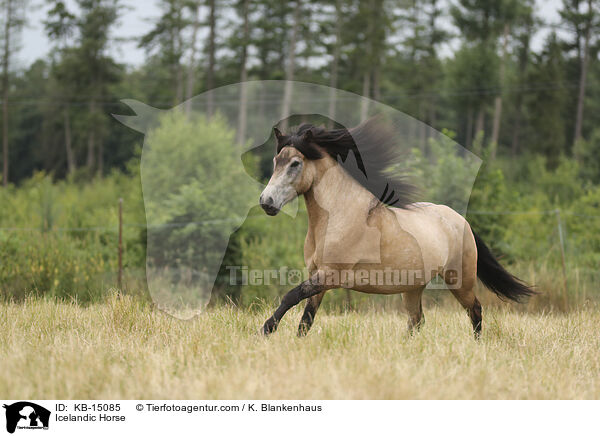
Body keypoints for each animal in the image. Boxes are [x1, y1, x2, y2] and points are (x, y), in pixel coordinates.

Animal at [258, 117, 536, 338]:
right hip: (413, 287)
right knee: (417, 320)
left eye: (295, 163)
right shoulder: (317, 275)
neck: (338, 216)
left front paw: (265, 330)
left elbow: (291, 296)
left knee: (474, 310)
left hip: (460, 280)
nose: (266, 202)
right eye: (275, 160)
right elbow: (306, 319)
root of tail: (461, 220)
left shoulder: (330, 275)